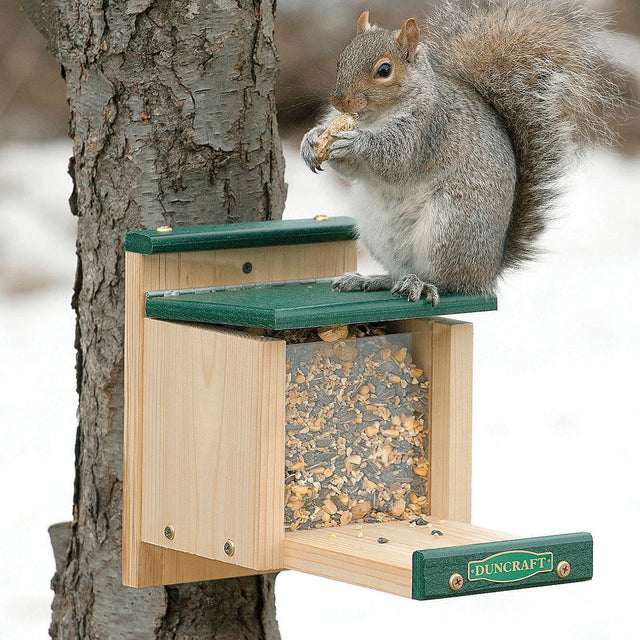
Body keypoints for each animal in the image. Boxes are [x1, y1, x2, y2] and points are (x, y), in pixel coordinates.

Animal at [300, 0, 620, 304]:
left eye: (384, 70)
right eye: (341, 60)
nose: (340, 101)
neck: (374, 118)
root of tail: (489, 270)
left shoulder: (427, 130)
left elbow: (396, 159)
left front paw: (353, 141)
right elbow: (350, 169)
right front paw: (312, 139)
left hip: (452, 225)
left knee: (449, 282)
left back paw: (422, 284)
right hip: (380, 233)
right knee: (401, 273)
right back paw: (373, 280)